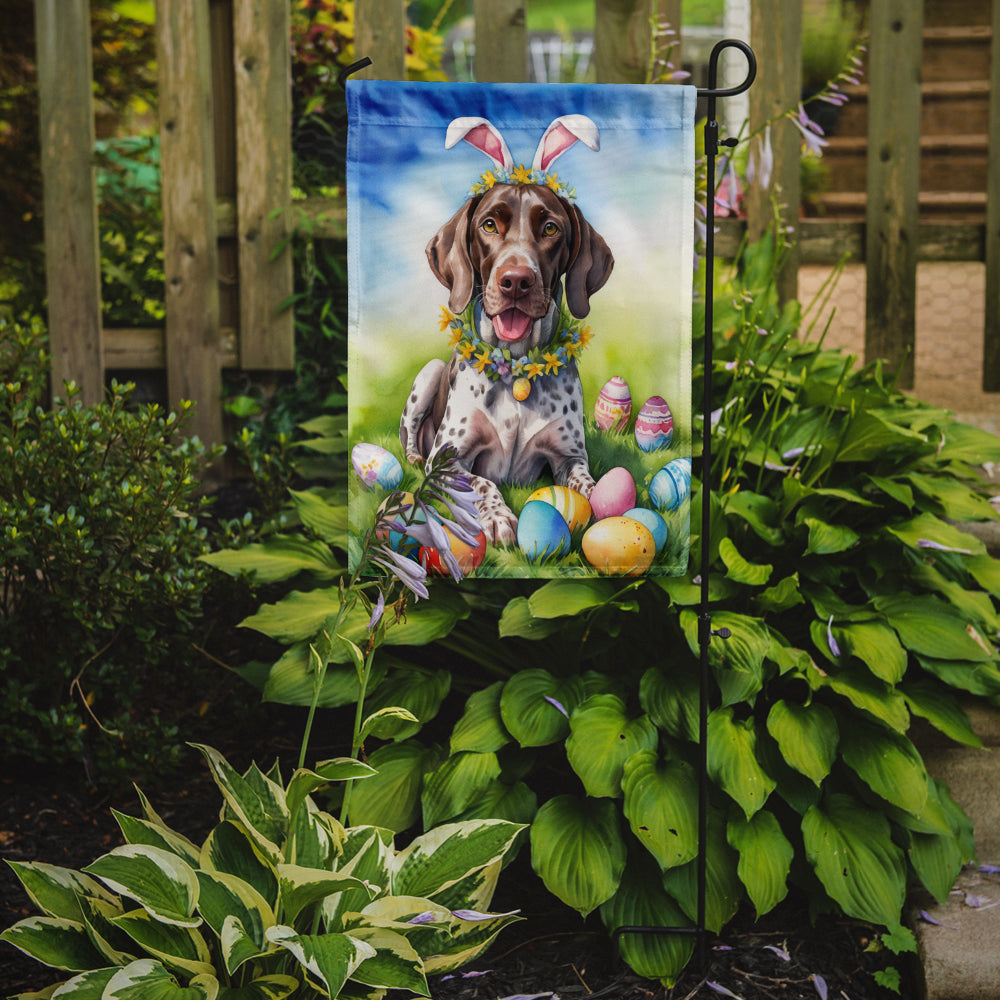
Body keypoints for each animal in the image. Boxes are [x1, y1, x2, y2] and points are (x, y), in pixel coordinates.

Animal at [398, 115, 608, 548]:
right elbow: (481, 482)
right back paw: (411, 459)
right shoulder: (450, 458)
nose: (515, 281)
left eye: (550, 228)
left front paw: (607, 501)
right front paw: (496, 516)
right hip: (428, 374)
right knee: (409, 436)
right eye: (489, 225)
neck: (516, 371)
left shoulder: (569, 456)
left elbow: (588, 483)